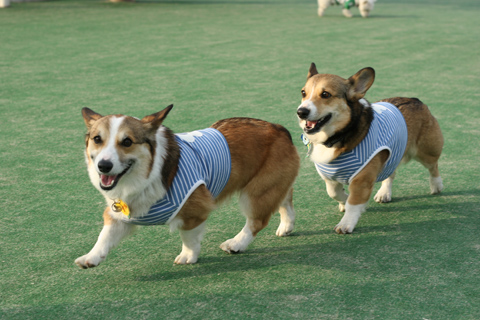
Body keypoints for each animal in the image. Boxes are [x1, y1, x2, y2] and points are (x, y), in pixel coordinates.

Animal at [74, 105, 300, 268]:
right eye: (97, 139)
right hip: (271, 187)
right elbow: (104, 237)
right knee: (285, 199)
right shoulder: (119, 216)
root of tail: (279, 128)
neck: (148, 175)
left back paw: (236, 244)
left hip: (255, 194)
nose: (104, 166)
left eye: (127, 142)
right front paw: (90, 258)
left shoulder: (194, 212)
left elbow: (188, 237)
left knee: (257, 221)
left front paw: (188, 256)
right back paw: (286, 226)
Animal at [298, 62, 444, 234]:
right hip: (393, 155)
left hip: (426, 151)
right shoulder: (330, 179)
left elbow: (353, 203)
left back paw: (436, 185)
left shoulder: (361, 180)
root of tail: (415, 100)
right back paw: (384, 193)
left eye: (326, 94)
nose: (301, 112)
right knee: (391, 173)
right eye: (303, 93)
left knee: (433, 166)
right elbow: (334, 193)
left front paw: (346, 223)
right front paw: (344, 201)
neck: (337, 137)